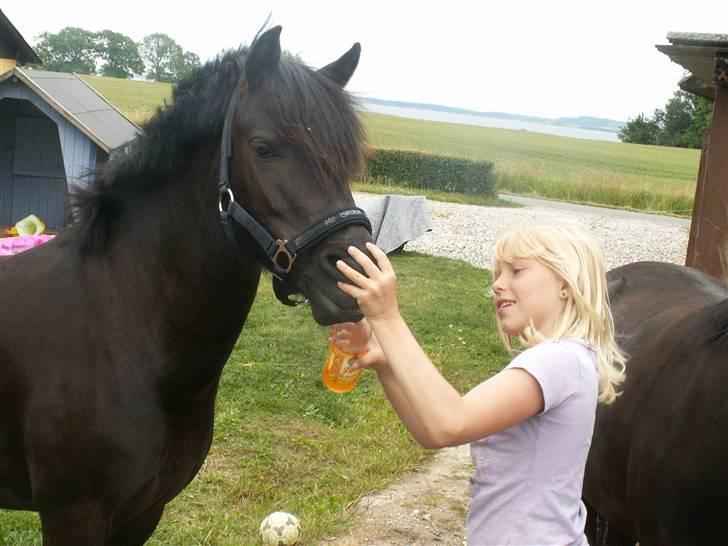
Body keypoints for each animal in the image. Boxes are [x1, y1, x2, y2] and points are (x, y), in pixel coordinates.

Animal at [0, 26, 372, 544]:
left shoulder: (144, 511)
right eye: (264, 147)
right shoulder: (73, 517)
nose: (355, 277)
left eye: (347, 157)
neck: (115, 326)